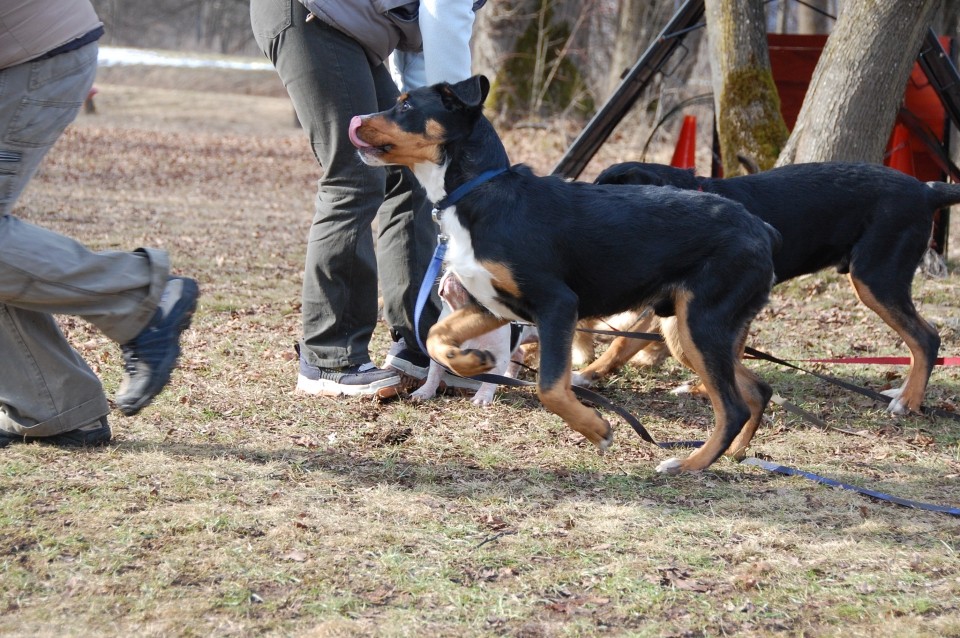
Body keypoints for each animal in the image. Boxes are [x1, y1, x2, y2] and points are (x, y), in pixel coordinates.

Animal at [348, 75, 784, 476]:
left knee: (732, 407)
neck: (479, 195)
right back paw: (736, 454)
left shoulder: (557, 304)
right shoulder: (492, 305)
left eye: (406, 105)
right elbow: (440, 339)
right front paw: (472, 361)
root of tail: (762, 228)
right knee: (757, 391)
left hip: (701, 325)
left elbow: (551, 388)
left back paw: (689, 464)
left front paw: (596, 428)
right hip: (687, 332)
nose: (355, 119)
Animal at [580, 161, 956, 416]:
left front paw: (705, 389)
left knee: (926, 337)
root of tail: (927, 190)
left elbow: (727, 357)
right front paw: (588, 374)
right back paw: (902, 392)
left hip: (876, 276)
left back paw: (907, 401)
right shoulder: (671, 299)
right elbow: (623, 342)